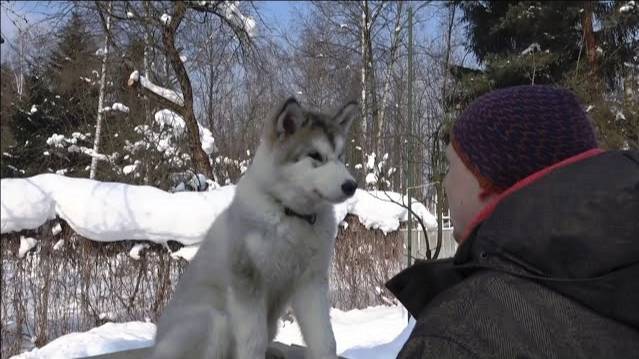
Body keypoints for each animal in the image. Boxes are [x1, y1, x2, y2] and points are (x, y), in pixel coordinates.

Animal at [151, 98, 360, 359]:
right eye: (315, 155)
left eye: (340, 157)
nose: (351, 185)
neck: (292, 216)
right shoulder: (247, 282)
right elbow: (253, 340)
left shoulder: (310, 282)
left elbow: (325, 339)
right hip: (215, 321)